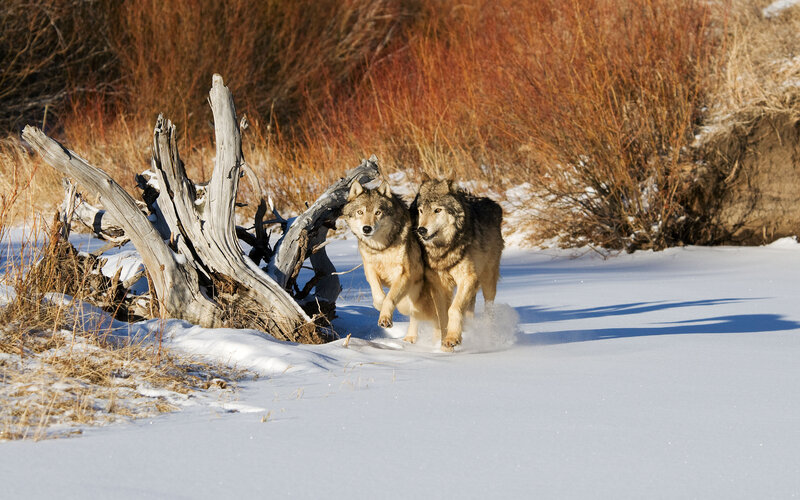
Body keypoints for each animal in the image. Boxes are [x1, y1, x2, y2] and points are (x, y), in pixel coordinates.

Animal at [342, 180, 448, 343]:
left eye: (378, 212)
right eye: (360, 212)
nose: (366, 228)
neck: (382, 248)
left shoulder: (404, 274)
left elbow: (390, 298)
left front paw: (385, 318)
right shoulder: (369, 269)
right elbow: (379, 296)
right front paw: (379, 307)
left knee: (432, 317)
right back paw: (410, 339)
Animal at [412, 176, 504, 351]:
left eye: (437, 210)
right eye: (420, 211)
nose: (421, 230)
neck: (444, 251)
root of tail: (494, 204)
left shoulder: (467, 278)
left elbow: (453, 310)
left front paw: (452, 338)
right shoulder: (439, 287)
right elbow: (442, 318)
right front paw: (444, 346)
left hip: (488, 280)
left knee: (489, 308)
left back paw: (489, 335)